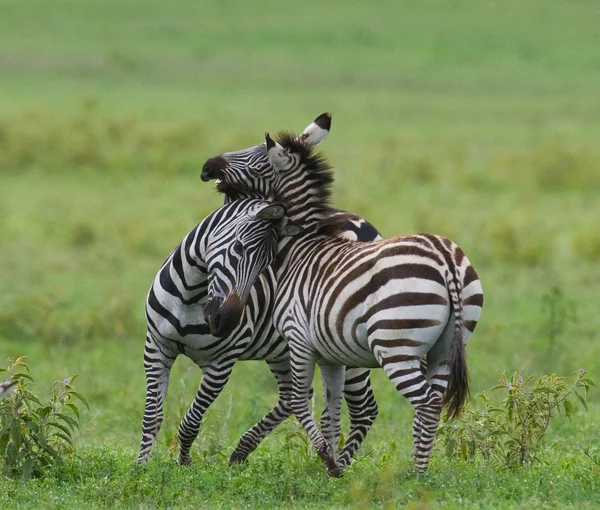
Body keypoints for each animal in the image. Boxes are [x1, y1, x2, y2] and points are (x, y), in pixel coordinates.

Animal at [139, 197, 302, 464]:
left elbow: (190, 423)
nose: (226, 321)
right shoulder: (156, 347)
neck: (190, 294)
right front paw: (141, 465)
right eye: (238, 247)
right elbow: (152, 417)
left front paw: (184, 464)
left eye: (266, 265)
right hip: (283, 353)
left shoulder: (221, 366)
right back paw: (241, 452)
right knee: (294, 397)